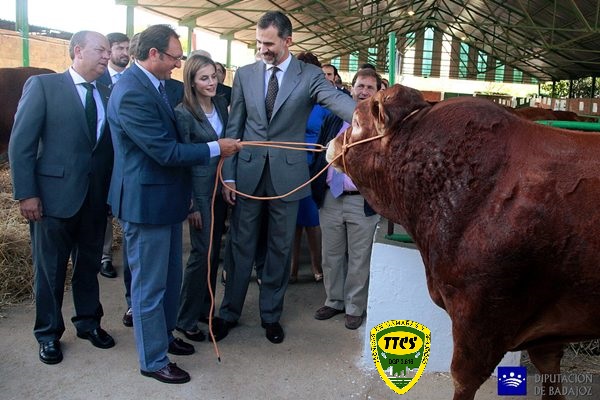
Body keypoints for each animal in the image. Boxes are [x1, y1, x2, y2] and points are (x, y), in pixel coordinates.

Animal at [328, 86, 600, 400]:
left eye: (357, 122)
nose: (332, 144)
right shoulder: (544, 323)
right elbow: (549, 367)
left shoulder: (480, 315)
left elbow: (463, 378)